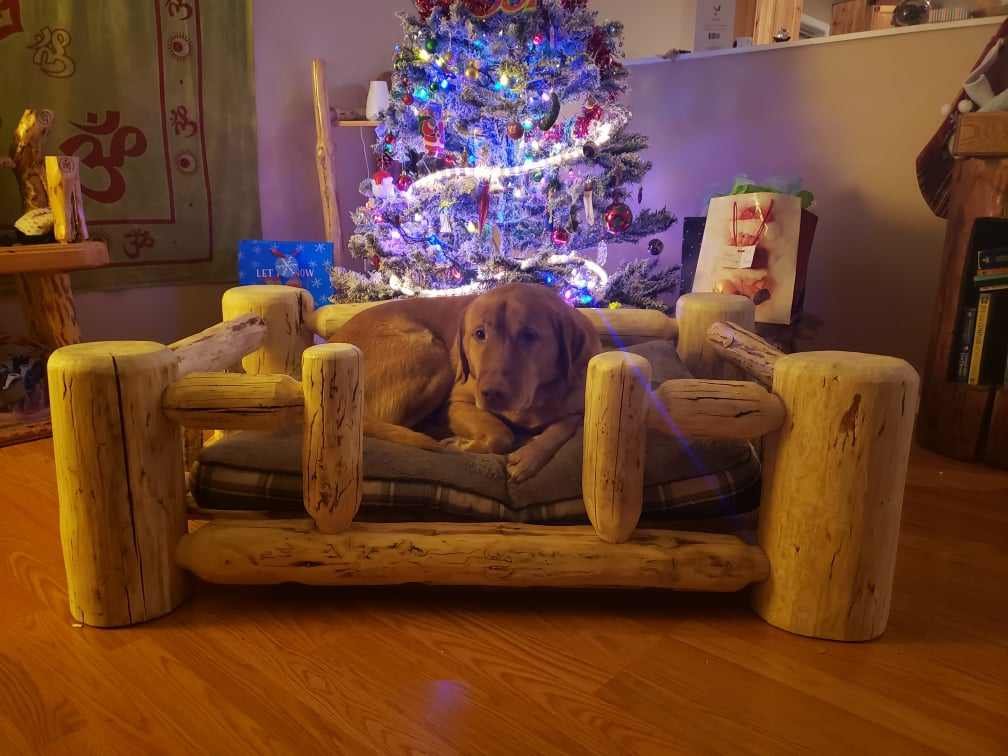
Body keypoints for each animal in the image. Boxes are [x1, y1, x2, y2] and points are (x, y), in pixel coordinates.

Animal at [330, 282, 596, 481]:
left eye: (529, 335)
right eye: (479, 334)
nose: (491, 393)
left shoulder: (579, 405)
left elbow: (563, 425)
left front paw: (530, 455)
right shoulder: (457, 403)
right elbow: (500, 435)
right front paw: (462, 445)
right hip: (434, 356)